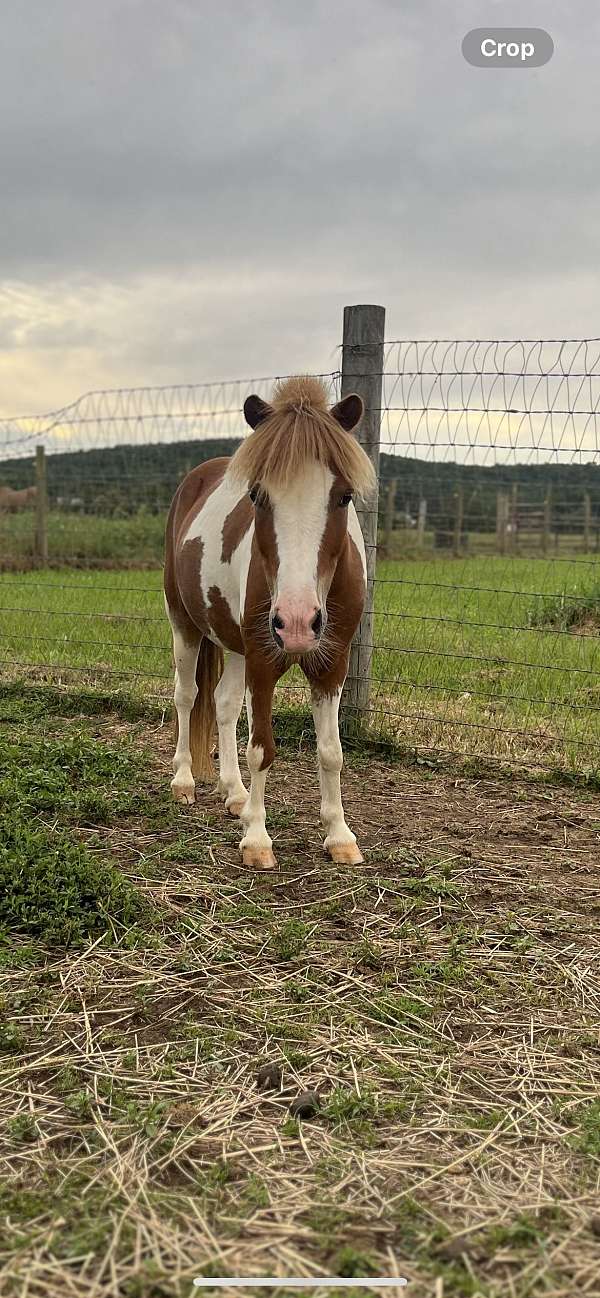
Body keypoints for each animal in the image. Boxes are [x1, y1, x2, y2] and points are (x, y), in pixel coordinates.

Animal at [163, 375, 375, 870]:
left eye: (343, 496)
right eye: (258, 496)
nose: (296, 623)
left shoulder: (331, 666)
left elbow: (331, 752)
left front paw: (339, 835)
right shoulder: (263, 662)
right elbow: (261, 748)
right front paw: (257, 839)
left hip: (237, 647)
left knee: (221, 704)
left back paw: (234, 793)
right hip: (186, 627)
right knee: (187, 696)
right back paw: (184, 782)